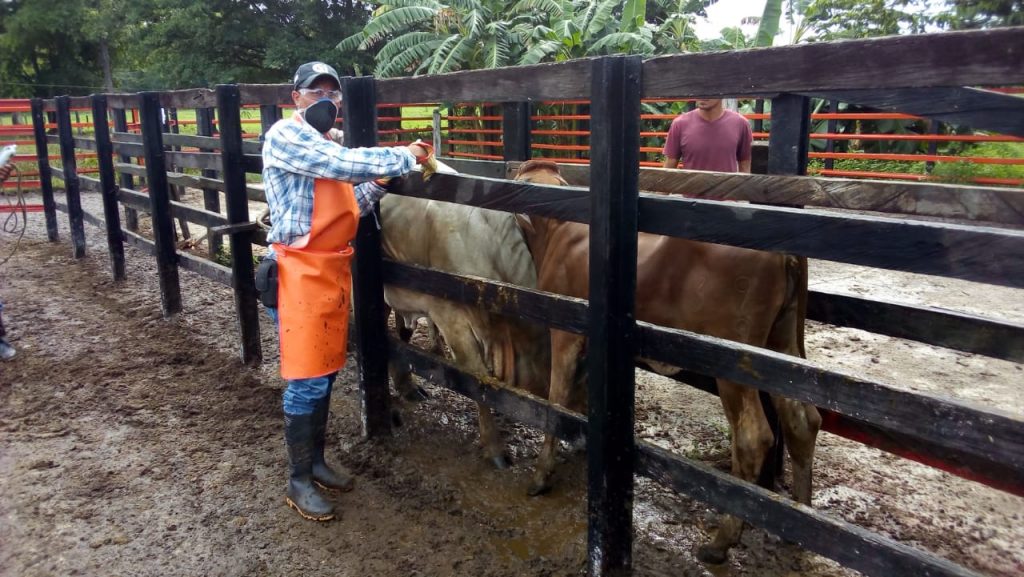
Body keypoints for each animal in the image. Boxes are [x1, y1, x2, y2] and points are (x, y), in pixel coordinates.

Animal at [516, 159, 819, 565]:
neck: (558, 231)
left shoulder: (564, 332)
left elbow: (556, 400)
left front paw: (541, 474)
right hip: (783, 344)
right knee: (802, 420)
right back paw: (797, 524)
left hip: (734, 360)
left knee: (754, 437)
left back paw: (722, 540)